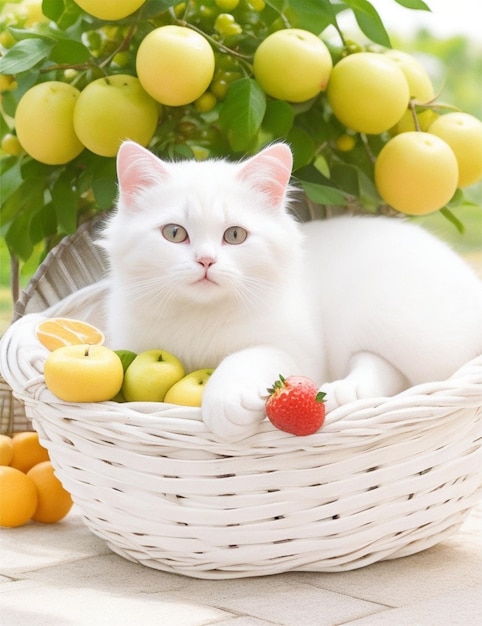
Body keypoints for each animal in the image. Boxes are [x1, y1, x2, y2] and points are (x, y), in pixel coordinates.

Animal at [100, 140, 482, 438]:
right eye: (174, 233)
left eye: (235, 235)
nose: (206, 261)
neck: (200, 316)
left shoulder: (298, 354)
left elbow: (247, 356)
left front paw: (226, 401)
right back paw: (345, 392)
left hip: (395, 322)